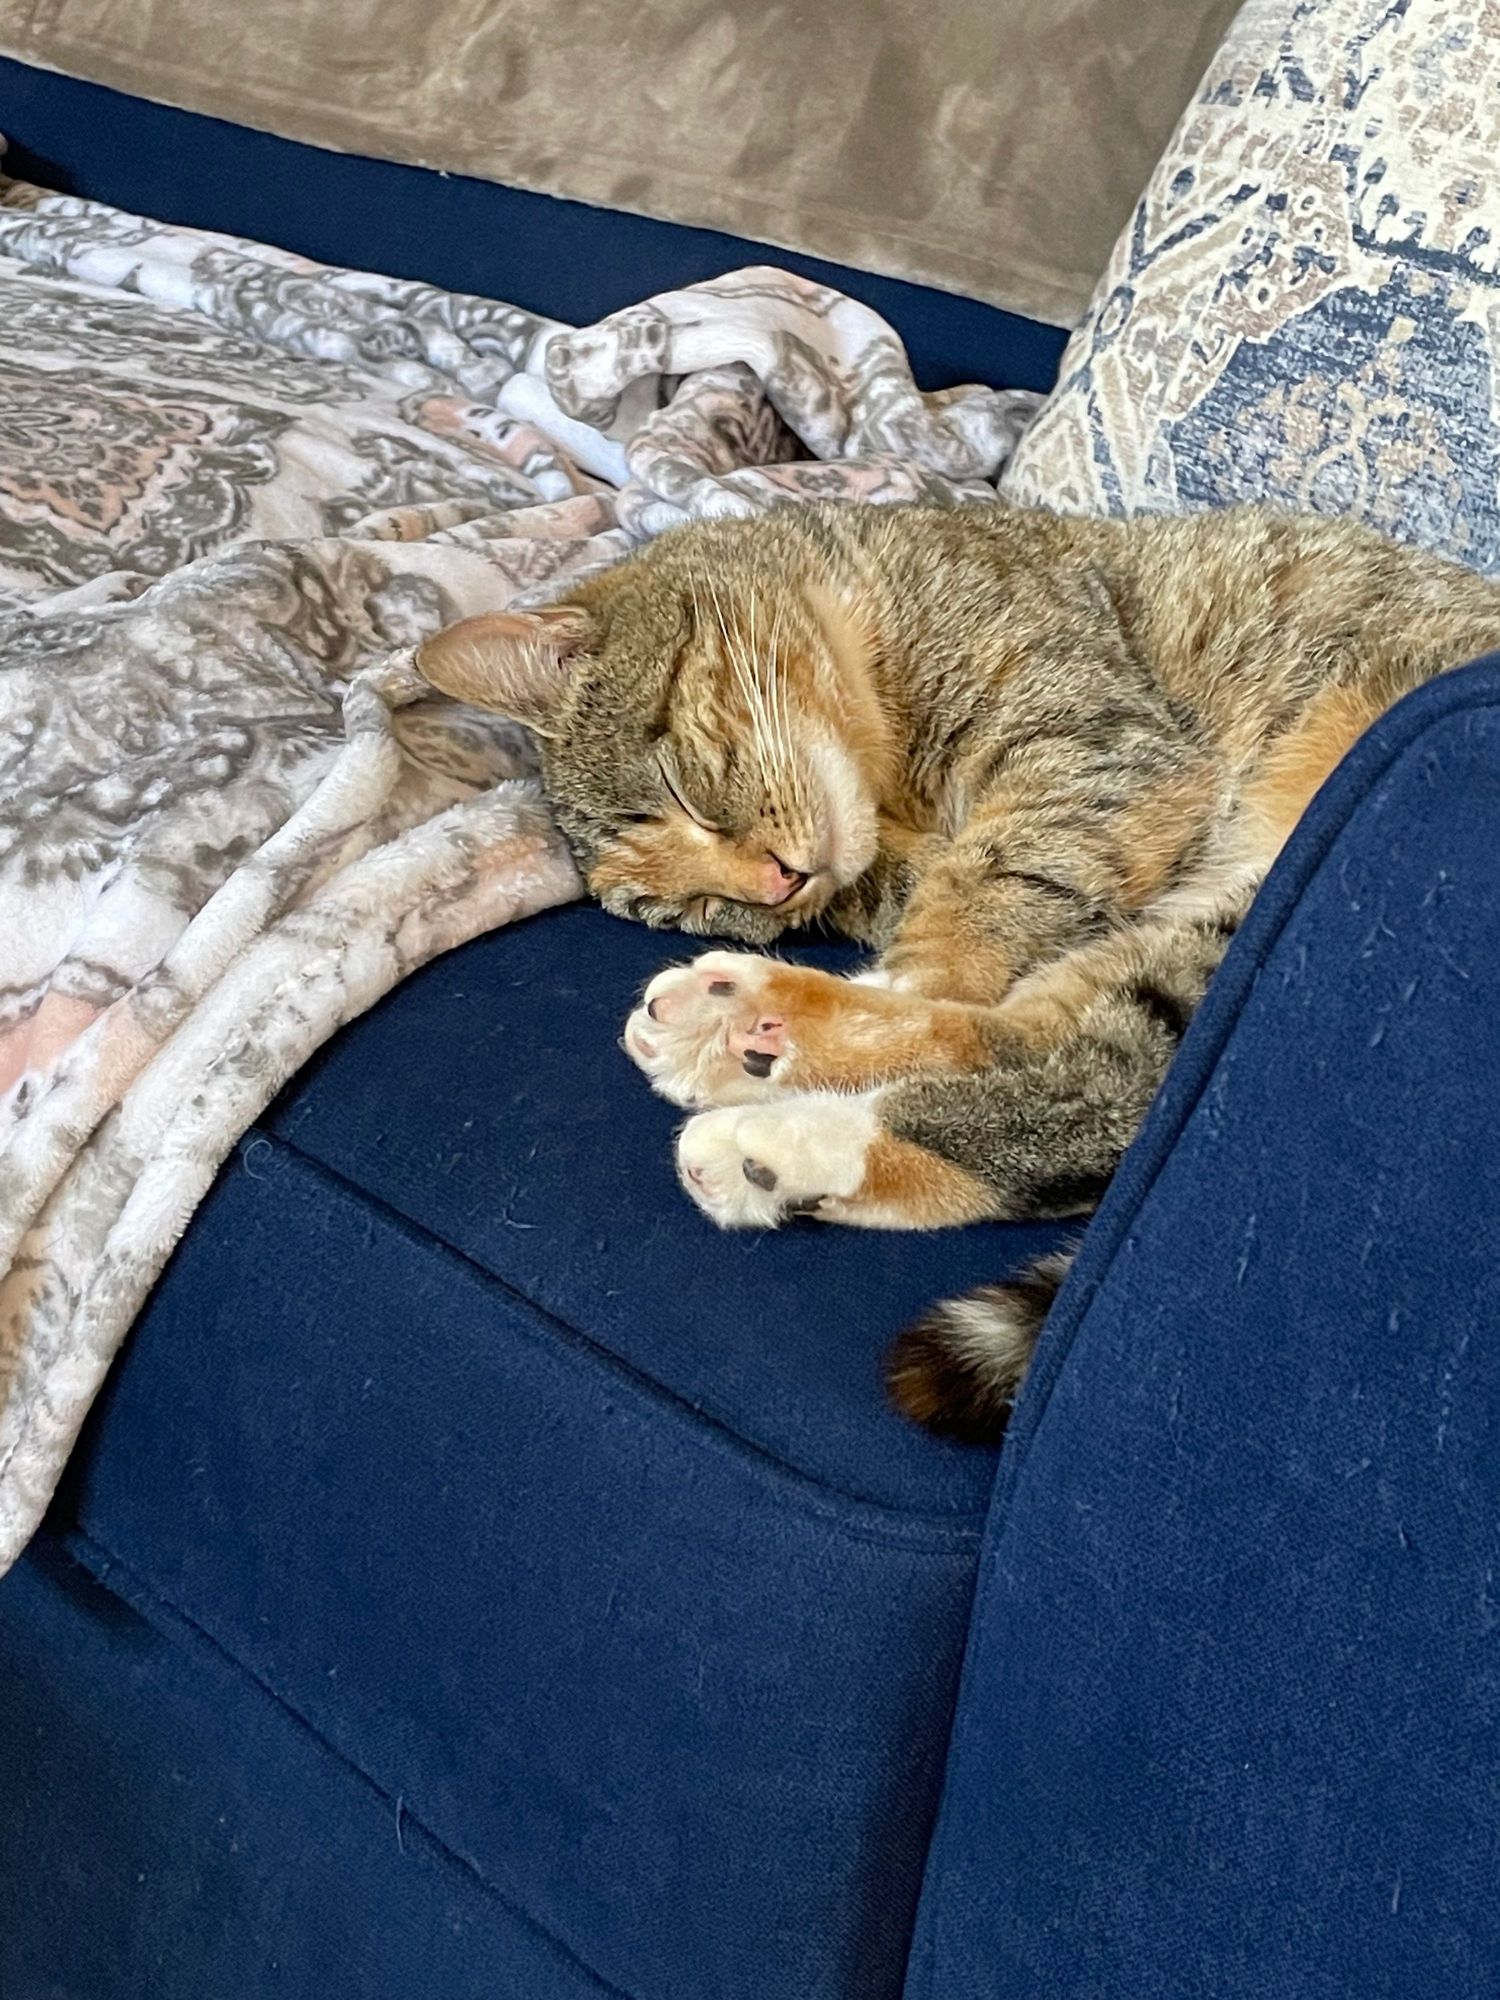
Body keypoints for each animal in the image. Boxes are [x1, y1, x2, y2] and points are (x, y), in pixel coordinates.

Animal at [418, 500, 1500, 1442]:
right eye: (699, 908)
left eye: (680, 791)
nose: (773, 887)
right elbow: (958, 913)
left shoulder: (1097, 748)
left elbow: (981, 899)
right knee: (1065, 1069)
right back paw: (767, 1092)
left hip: (1258, 896)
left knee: (1096, 1093)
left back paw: (775, 1079)